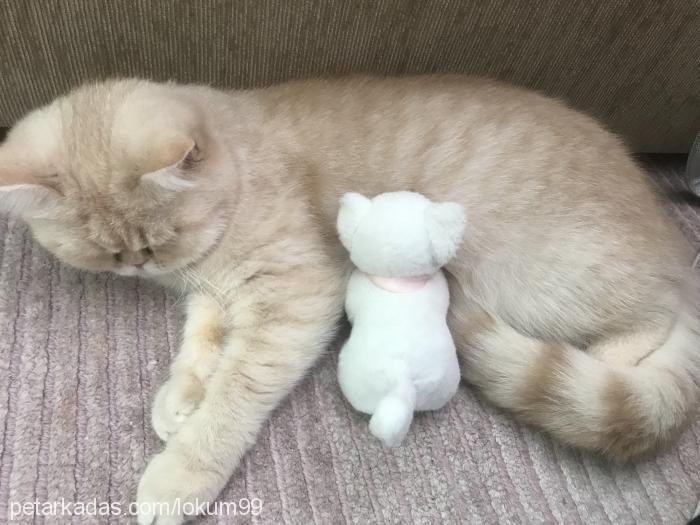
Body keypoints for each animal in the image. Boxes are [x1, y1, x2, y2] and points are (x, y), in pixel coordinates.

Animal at [0, 75, 696, 520]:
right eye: (111, 256)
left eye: (156, 241)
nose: (140, 269)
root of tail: (673, 242)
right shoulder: (214, 292)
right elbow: (201, 344)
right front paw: (181, 399)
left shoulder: (297, 296)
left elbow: (233, 394)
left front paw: (181, 471)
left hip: (539, 282)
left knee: (649, 321)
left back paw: (610, 358)